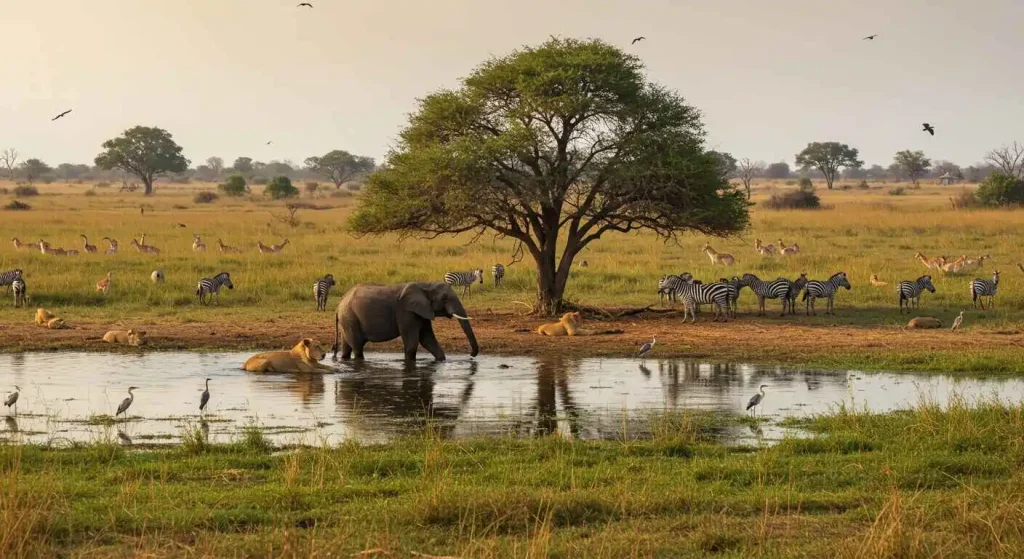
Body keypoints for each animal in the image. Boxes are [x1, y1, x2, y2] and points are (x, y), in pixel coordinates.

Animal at [333, 280, 481, 358]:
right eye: (444, 299)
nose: (471, 354)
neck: (425, 285)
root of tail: (338, 306)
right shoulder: (406, 312)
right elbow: (412, 343)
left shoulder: (423, 311)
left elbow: (428, 340)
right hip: (350, 317)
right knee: (357, 347)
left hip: (347, 320)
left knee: (347, 347)